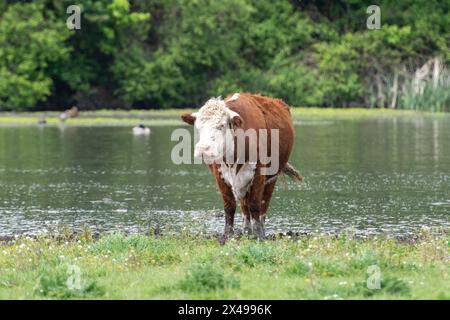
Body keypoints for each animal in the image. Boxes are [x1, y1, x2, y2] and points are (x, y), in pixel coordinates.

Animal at [181, 92, 300, 238]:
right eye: (198, 127)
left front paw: (258, 234)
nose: (203, 149)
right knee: (244, 206)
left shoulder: (259, 174)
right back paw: (247, 230)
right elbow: (229, 206)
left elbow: (255, 204)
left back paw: (260, 229)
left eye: (222, 125)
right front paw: (228, 234)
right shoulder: (219, 175)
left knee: (263, 204)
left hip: (272, 177)